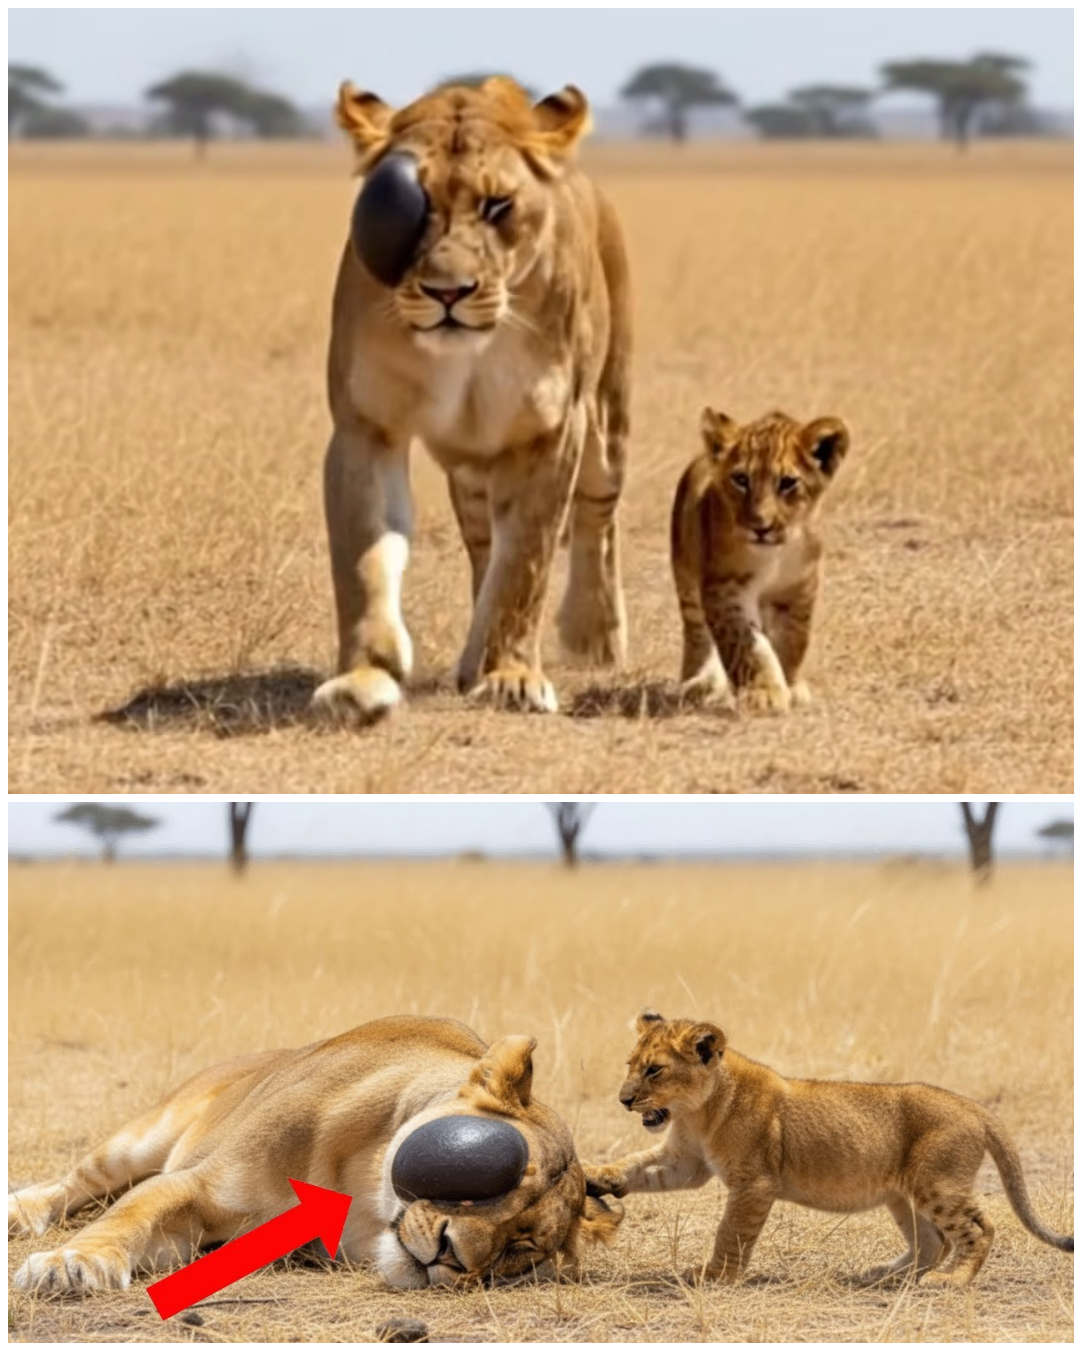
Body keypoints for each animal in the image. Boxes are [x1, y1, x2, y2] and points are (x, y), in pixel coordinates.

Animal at [9, 1016, 621, 1294]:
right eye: (485, 1175)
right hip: (140, 1139)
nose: (451, 1257)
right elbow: (126, 1216)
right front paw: (69, 1263)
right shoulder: (195, 1184)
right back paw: (19, 1212)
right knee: (76, 1183)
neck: (365, 1191)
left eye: (519, 1248)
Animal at [311, 75, 632, 721]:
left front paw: (511, 676)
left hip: (606, 422)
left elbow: (526, 564)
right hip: (470, 469)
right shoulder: (366, 427)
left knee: (598, 514)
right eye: (413, 206)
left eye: (497, 206)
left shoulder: (550, 431)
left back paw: (594, 635)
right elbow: (362, 560)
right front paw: (363, 677)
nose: (447, 292)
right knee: (485, 545)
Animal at [585, 1012, 1072, 1288]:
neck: (696, 1111)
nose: (624, 1100)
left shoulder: (754, 1183)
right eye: (630, 1065)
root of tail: (974, 1106)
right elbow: (639, 1167)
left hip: (938, 1184)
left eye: (654, 1070)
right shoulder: (685, 1161)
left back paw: (952, 1281)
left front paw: (715, 1276)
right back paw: (881, 1275)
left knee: (979, 1229)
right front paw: (595, 1174)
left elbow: (731, 1233)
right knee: (931, 1242)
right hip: (904, 1194)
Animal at [671, 407, 849, 713]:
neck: (775, 553)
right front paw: (764, 693)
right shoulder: (724, 589)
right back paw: (699, 683)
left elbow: (793, 641)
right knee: (697, 634)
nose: (760, 527)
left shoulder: (799, 590)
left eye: (788, 483)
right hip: (686, 581)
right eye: (741, 480)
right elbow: (748, 646)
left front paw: (791, 686)